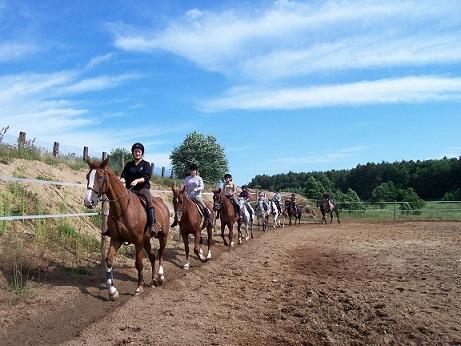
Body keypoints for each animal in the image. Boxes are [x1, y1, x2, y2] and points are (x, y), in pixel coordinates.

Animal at [83, 159, 170, 300]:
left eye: (100, 177)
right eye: (87, 176)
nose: (88, 201)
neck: (123, 207)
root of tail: (163, 204)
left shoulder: (138, 241)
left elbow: (139, 264)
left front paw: (140, 287)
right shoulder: (116, 239)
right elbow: (109, 261)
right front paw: (112, 291)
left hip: (163, 236)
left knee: (161, 253)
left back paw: (160, 277)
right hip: (147, 240)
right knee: (152, 256)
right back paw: (153, 280)